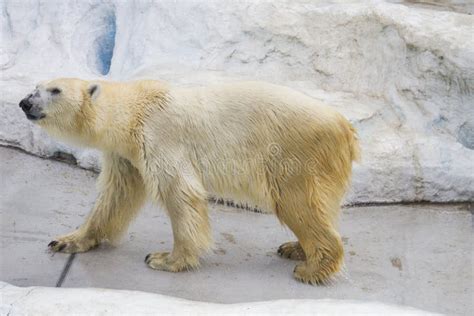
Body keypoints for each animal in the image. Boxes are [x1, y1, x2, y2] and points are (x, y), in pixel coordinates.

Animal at [18, 78, 360, 284]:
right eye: (36, 85)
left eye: (55, 90)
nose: (25, 102)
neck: (135, 110)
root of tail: (345, 127)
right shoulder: (126, 155)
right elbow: (116, 196)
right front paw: (66, 240)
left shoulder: (160, 137)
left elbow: (181, 194)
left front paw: (165, 259)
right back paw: (296, 248)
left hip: (293, 155)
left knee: (297, 203)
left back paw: (311, 267)